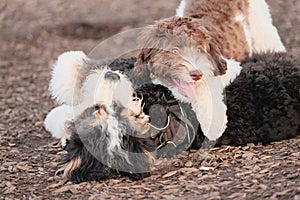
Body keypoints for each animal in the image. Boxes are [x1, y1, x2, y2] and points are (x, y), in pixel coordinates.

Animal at [133, 0, 286, 142]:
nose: (197, 73)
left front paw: (214, 126)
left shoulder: (228, 67)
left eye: (200, 50)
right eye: (174, 51)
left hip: (259, 21)